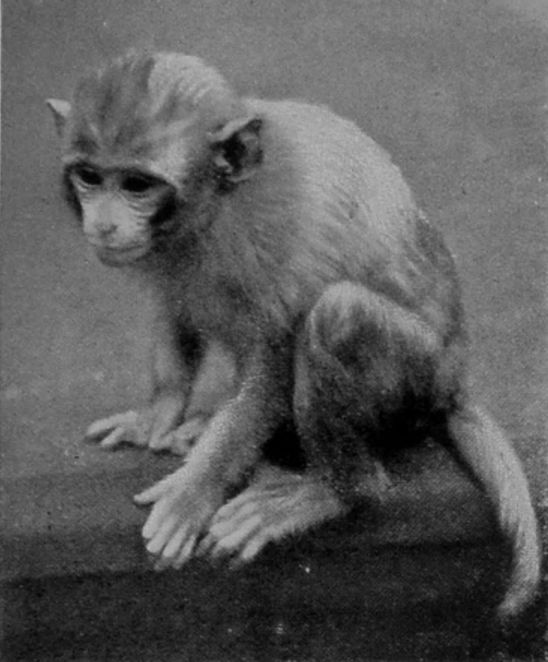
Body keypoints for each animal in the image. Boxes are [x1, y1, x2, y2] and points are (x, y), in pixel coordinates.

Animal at [47, 51, 540, 621]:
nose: (103, 225)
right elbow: (176, 308)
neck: (220, 203)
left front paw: (195, 491)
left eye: (136, 185)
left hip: (421, 382)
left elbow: (273, 368)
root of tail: (455, 388)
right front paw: (158, 414)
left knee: (337, 315)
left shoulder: (279, 236)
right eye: (89, 176)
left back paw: (337, 491)